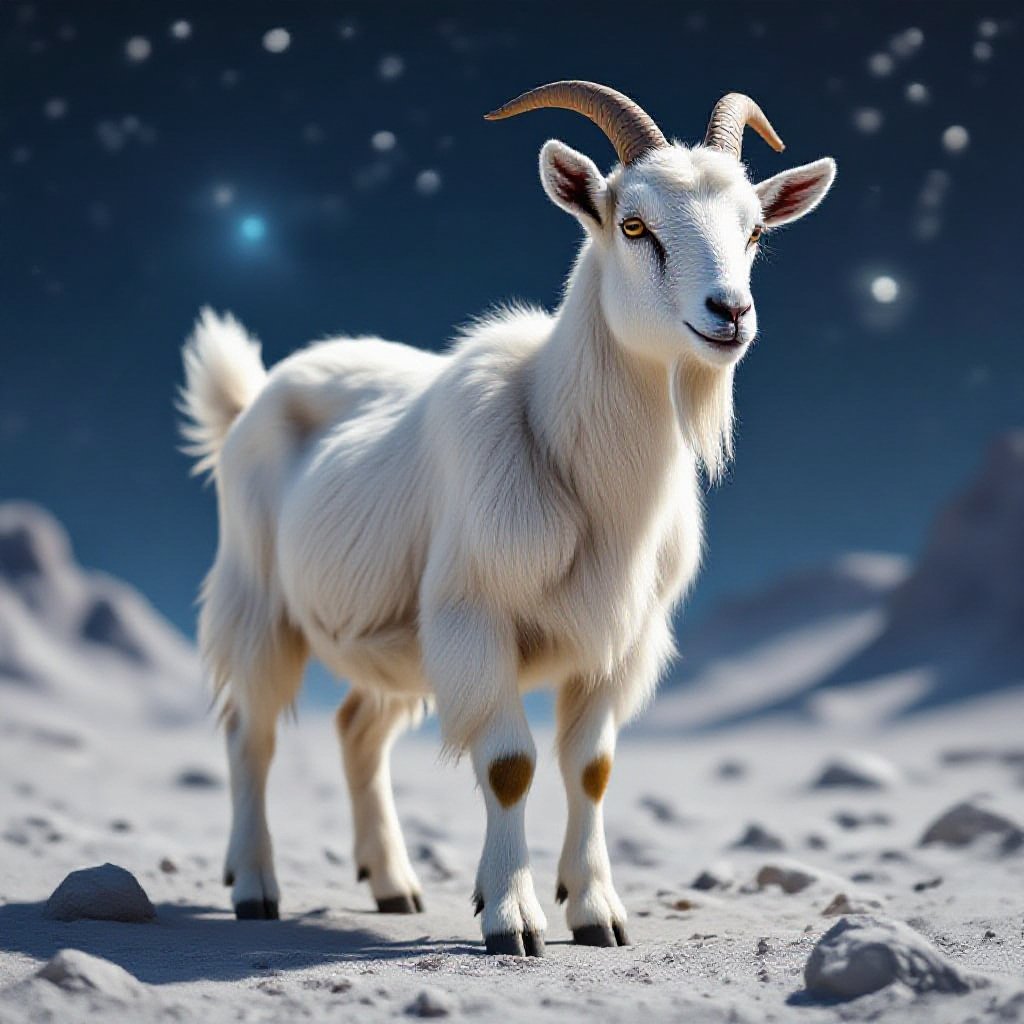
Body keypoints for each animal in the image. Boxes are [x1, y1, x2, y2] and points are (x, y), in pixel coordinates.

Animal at [179, 81, 835, 956]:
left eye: (756, 231)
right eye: (634, 225)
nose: (729, 313)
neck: (571, 458)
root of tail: (250, 398)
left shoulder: (616, 645)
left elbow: (592, 768)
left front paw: (595, 912)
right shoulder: (474, 620)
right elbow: (510, 766)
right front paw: (514, 920)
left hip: (396, 640)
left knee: (356, 729)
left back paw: (393, 886)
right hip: (261, 604)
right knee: (250, 732)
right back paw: (255, 887)